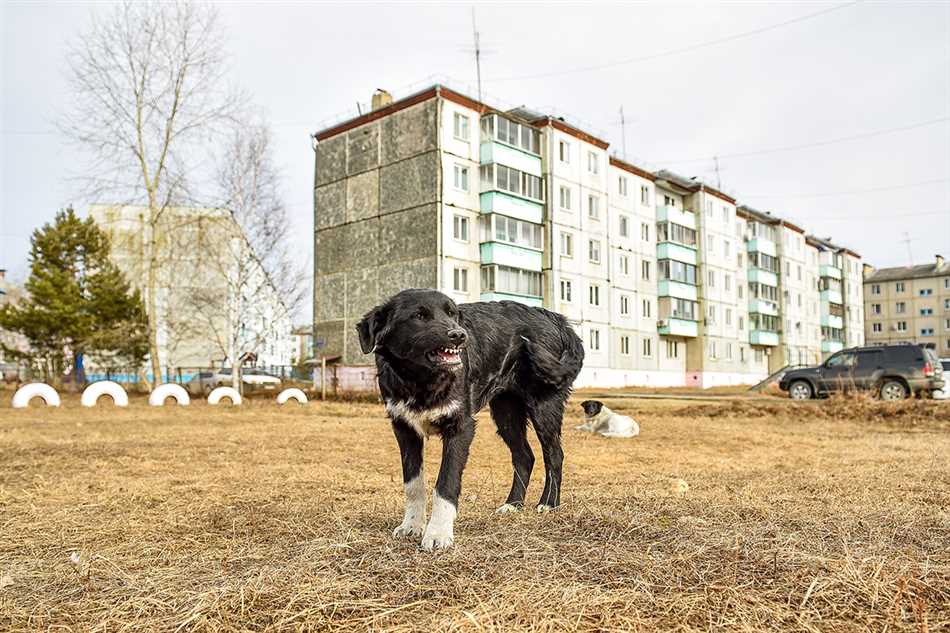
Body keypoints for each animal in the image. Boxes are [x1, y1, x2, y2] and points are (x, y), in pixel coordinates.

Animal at [356, 288, 584, 548]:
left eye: (452, 314)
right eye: (419, 316)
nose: (459, 335)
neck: (421, 381)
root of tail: (556, 319)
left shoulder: (461, 427)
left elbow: (445, 483)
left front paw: (438, 533)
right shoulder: (404, 429)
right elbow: (413, 484)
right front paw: (412, 525)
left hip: (544, 405)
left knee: (554, 455)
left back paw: (548, 503)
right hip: (506, 412)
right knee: (524, 456)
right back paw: (513, 505)